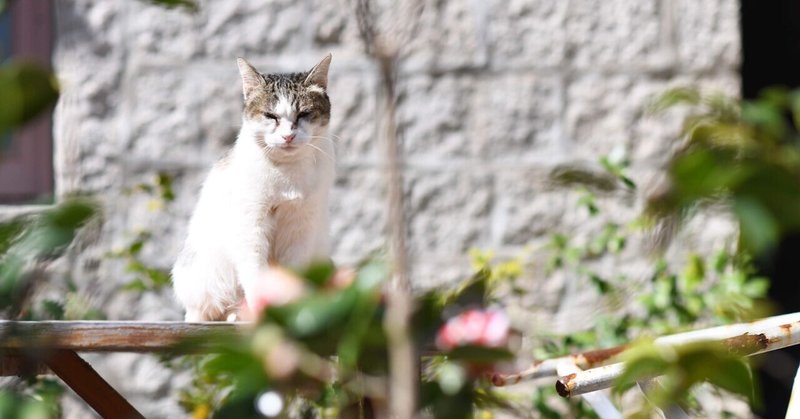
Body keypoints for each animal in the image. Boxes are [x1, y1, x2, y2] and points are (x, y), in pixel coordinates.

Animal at [173, 53, 336, 322]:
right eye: (271, 116)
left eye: (303, 114)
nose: (288, 136)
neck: (286, 172)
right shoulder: (251, 225)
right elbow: (255, 273)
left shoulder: (302, 226)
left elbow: (294, 274)